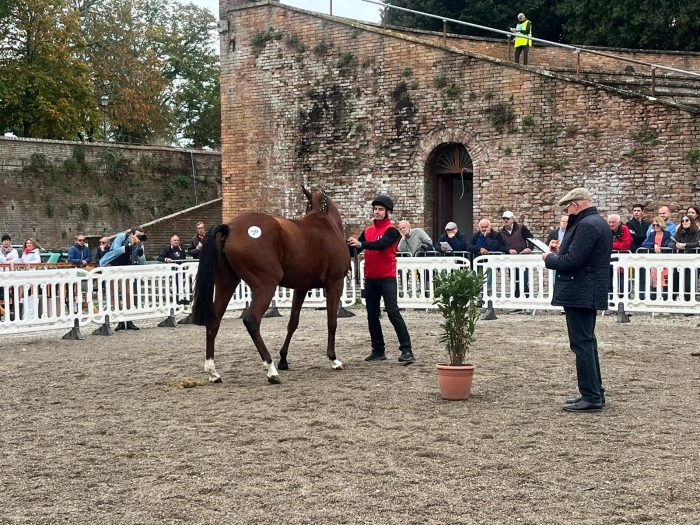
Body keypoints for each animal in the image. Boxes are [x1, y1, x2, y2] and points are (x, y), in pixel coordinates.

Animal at [191, 186, 350, 382]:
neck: (326, 223)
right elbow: (332, 321)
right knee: (251, 320)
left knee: (214, 321)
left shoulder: (301, 288)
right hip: (266, 286)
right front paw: (334, 359)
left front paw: (283, 359)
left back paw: (213, 371)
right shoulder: (335, 283)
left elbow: (293, 323)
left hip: (226, 283)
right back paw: (270, 369)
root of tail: (230, 227)